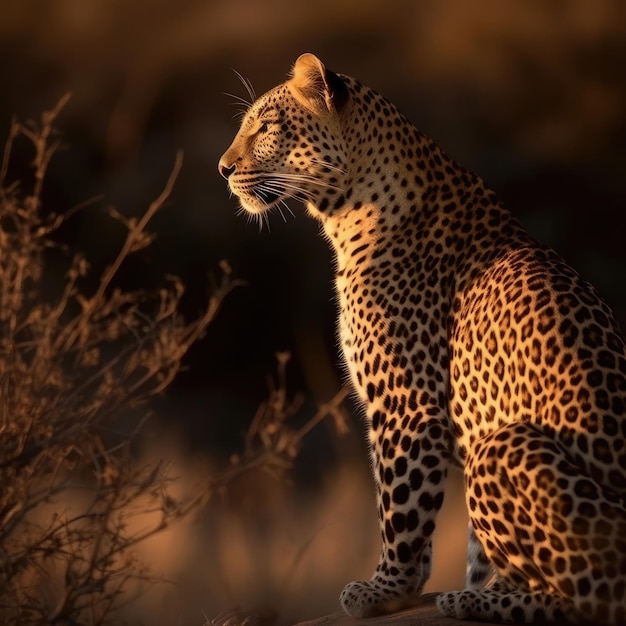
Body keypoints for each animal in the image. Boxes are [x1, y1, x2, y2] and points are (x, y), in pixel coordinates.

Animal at [218, 54, 624, 624]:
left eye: (267, 127)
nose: (223, 169)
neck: (348, 213)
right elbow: (473, 543)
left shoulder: (407, 407)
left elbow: (401, 507)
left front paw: (386, 588)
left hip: (503, 445)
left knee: (593, 594)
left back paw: (481, 601)